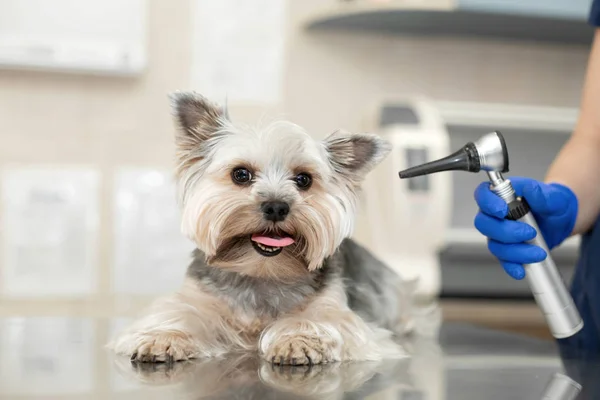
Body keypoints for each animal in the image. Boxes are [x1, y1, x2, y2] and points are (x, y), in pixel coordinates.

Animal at [108, 91, 414, 366]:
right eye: (241, 174)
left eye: (304, 179)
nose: (277, 206)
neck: (261, 271)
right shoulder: (197, 296)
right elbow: (179, 312)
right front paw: (164, 336)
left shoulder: (336, 310)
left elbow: (321, 320)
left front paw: (298, 340)